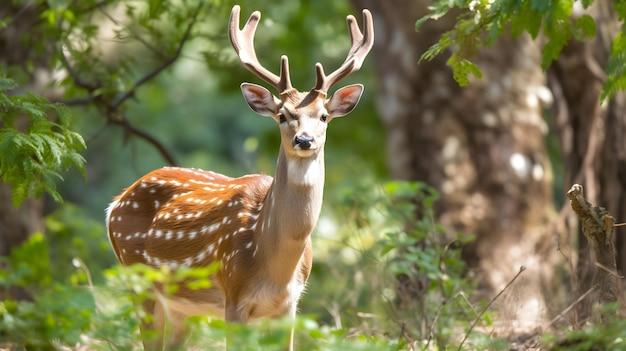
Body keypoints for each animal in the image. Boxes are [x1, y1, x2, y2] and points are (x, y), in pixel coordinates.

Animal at [105, 4, 372, 350]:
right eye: (282, 115)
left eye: (324, 116)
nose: (304, 140)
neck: (273, 262)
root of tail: (115, 203)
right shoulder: (233, 297)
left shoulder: (290, 306)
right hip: (139, 277)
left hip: (181, 306)